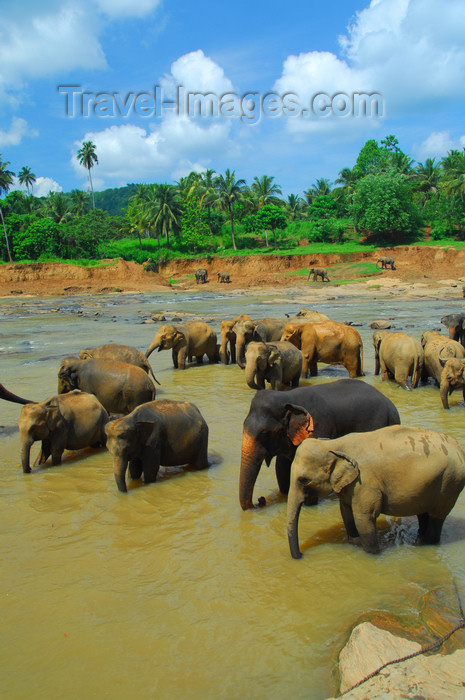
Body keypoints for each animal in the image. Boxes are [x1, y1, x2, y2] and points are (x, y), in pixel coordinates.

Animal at [286, 422, 464, 556]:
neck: (333, 444)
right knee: (423, 514)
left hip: (449, 484)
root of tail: (458, 448)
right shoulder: (350, 486)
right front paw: (354, 542)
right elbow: (346, 512)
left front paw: (373, 553)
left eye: (303, 480)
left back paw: (428, 543)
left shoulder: (365, 483)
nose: (301, 555)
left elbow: (365, 517)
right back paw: (419, 541)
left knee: (437, 517)